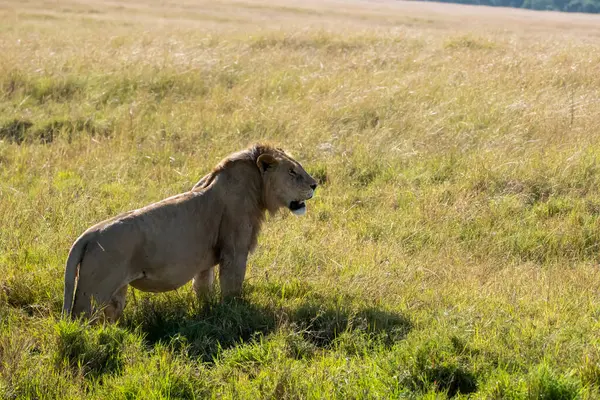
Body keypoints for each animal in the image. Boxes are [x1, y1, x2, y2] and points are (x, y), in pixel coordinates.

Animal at [61, 144, 318, 322]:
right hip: (92, 294)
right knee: (81, 320)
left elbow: (203, 286)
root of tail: (89, 235)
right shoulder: (234, 252)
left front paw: (207, 311)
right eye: (292, 172)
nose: (315, 184)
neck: (257, 187)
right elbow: (232, 287)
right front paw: (235, 312)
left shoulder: (206, 261)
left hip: (113, 296)